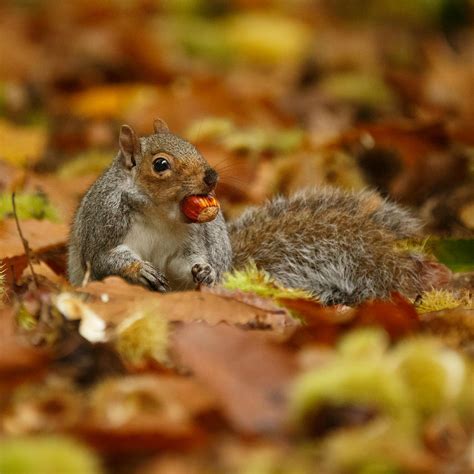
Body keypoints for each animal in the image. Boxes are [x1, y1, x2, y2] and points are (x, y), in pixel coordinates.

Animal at [68, 118, 436, 304]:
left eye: (194, 145)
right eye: (160, 165)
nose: (212, 176)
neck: (161, 212)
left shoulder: (190, 236)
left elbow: (184, 261)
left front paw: (203, 270)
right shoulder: (106, 220)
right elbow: (102, 258)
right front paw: (138, 268)